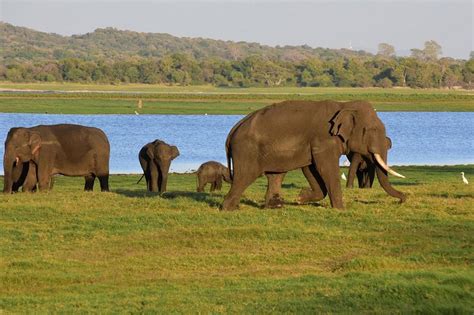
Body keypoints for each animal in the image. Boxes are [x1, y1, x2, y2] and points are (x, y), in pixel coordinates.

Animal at [221, 100, 404, 211]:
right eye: (370, 130)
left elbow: (311, 169)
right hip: (247, 151)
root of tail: (233, 129)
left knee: (276, 175)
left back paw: (274, 206)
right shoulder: (324, 139)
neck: (344, 105)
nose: (404, 198)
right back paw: (229, 208)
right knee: (245, 176)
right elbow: (326, 168)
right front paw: (340, 209)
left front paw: (300, 197)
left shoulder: (313, 144)